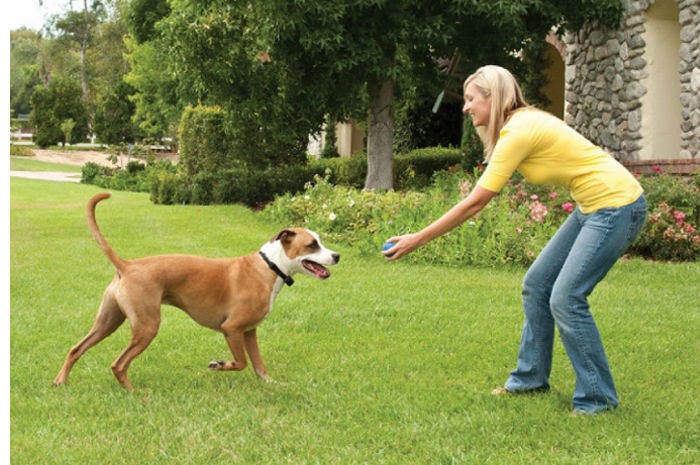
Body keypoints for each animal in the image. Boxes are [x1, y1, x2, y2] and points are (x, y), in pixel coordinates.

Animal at [52, 192, 340, 388]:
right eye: (312, 244)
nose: (337, 256)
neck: (269, 266)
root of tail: (127, 265)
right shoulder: (232, 329)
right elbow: (242, 362)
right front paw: (219, 364)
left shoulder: (249, 332)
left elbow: (258, 364)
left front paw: (270, 383)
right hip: (146, 327)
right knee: (118, 364)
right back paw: (134, 393)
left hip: (108, 322)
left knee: (76, 349)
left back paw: (60, 381)